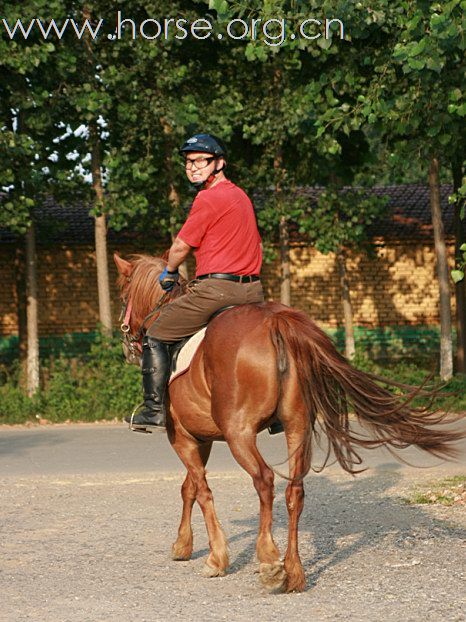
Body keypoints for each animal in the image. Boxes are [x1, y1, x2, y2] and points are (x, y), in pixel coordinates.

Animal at [114, 254, 460, 596]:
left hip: (239, 434)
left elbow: (201, 490)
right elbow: (189, 487)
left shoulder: (182, 437)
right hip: (297, 427)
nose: (127, 340)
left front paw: (216, 558)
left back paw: (269, 561)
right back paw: (293, 571)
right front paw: (183, 545)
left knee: (265, 480)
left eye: (123, 292)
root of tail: (275, 321)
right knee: (295, 490)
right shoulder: (202, 438)